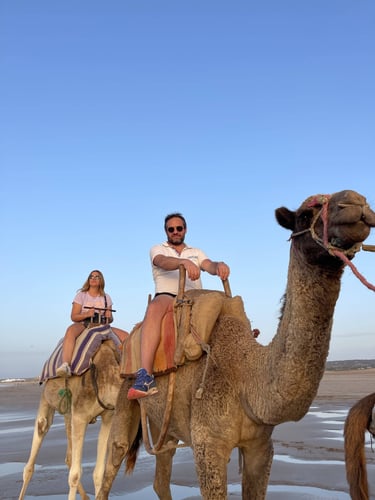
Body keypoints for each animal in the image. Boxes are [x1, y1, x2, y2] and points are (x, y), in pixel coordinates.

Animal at [18, 338, 132, 500]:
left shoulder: (108, 417)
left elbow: (98, 473)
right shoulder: (80, 415)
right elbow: (75, 475)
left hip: (68, 413)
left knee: (69, 456)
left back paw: (86, 497)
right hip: (46, 399)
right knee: (39, 436)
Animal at [97, 188, 375, 500]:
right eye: (305, 214)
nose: (356, 202)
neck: (247, 377)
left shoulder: (260, 447)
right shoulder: (208, 444)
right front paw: (188, 264)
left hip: (162, 423)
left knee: (161, 473)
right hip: (126, 392)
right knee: (114, 458)